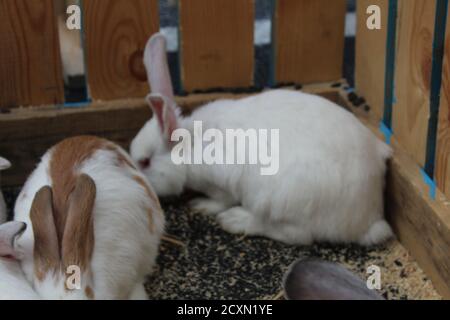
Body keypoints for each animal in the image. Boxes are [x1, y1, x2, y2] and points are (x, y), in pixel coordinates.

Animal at [128, 33, 392, 245]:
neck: (190, 145)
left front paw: (201, 206)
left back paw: (235, 220)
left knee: (297, 236)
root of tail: (369, 219)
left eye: (145, 162)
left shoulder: (221, 181)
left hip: (279, 199)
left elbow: (221, 199)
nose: (143, 189)